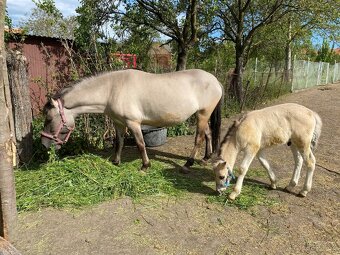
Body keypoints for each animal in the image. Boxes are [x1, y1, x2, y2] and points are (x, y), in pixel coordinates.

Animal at [41, 68, 223, 170]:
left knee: (199, 138)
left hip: (203, 114)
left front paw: (145, 165)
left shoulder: (133, 123)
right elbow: (119, 142)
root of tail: (215, 80)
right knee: (208, 134)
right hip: (201, 114)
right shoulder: (119, 123)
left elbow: (140, 144)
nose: (44, 145)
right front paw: (116, 161)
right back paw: (206, 158)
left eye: (49, 119)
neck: (112, 90)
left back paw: (188, 164)